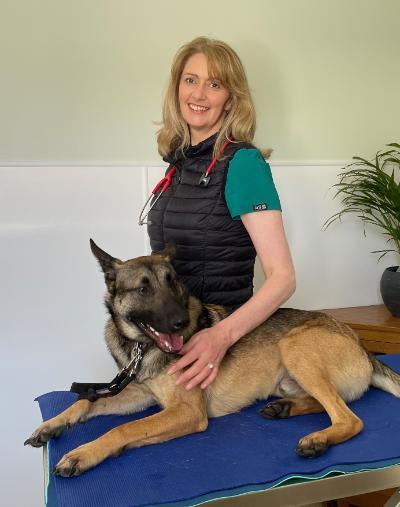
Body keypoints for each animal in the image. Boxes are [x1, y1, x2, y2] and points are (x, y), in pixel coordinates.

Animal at [25, 239, 400, 476]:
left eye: (174, 283)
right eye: (144, 288)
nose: (181, 322)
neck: (143, 347)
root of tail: (362, 346)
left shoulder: (188, 412)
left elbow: (124, 428)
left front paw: (84, 454)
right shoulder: (140, 394)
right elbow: (86, 401)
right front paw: (51, 425)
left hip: (295, 346)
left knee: (349, 418)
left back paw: (318, 439)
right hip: (288, 378)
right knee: (329, 404)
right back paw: (285, 409)